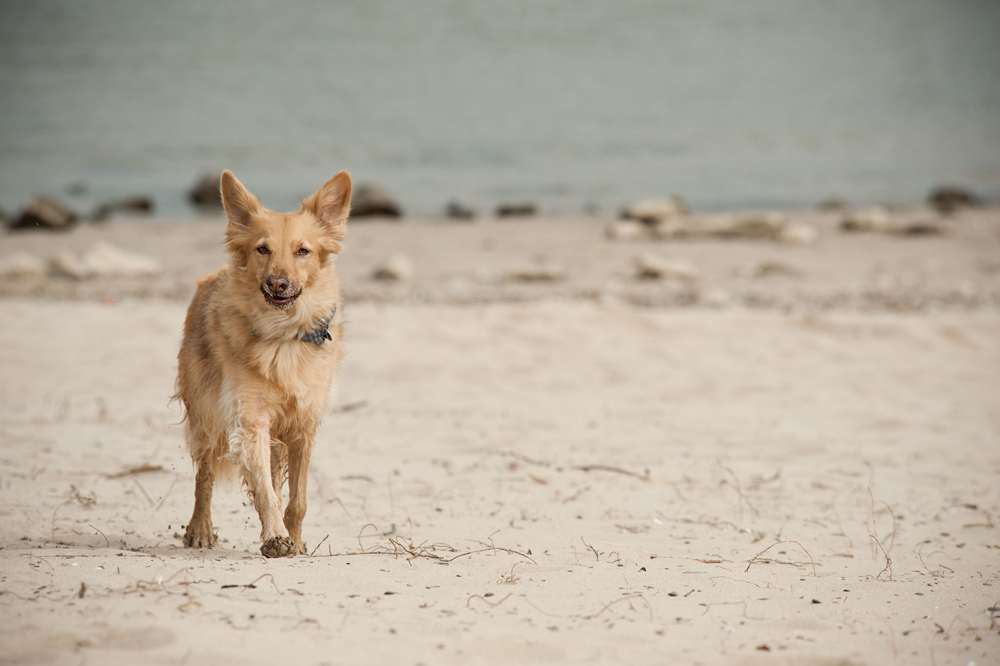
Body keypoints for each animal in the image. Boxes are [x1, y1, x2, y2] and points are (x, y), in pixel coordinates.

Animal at [176, 170, 352, 556]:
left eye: (303, 251)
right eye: (262, 249)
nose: (277, 283)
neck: (284, 335)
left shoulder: (303, 426)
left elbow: (297, 499)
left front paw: (294, 540)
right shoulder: (251, 419)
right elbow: (265, 492)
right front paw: (275, 537)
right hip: (208, 415)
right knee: (204, 476)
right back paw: (200, 529)